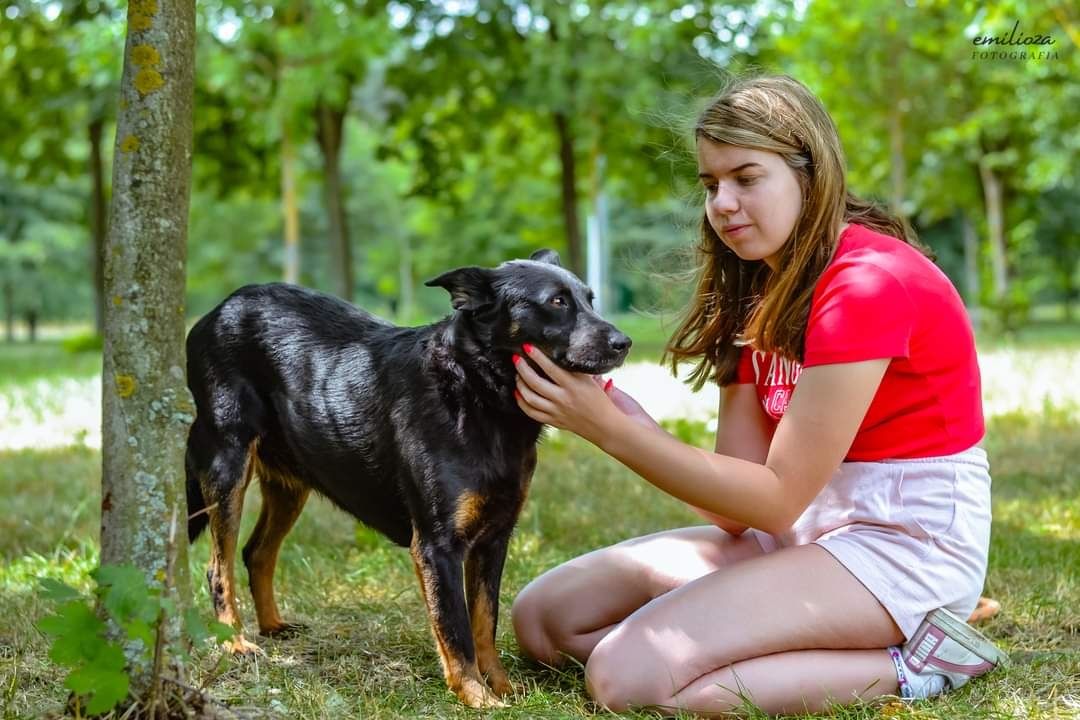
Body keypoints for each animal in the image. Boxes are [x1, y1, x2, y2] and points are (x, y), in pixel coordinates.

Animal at [182, 250, 630, 708]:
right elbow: (457, 629)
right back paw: (234, 643)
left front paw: (502, 687)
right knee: (218, 567)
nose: (624, 343)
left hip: (291, 483)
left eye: (589, 298)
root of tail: (219, 310)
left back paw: (273, 626)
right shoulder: (437, 546)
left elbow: (485, 621)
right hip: (227, 465)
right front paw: (476, 696)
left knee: (256, 552)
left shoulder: (494, 538)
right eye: (557, 302)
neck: (476, 392)